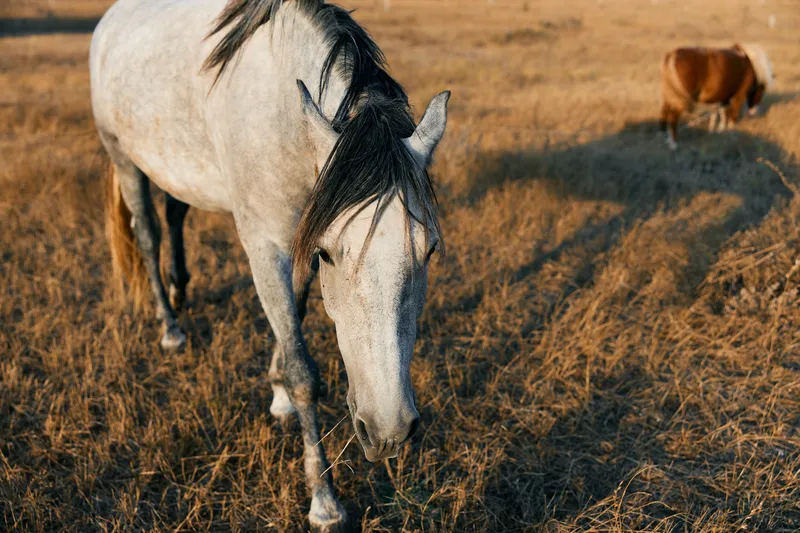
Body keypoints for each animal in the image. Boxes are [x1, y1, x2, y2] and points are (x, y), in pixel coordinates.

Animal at [90, 0, 450, 529]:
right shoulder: (267, 247)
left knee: (175, 214)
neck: (281, 116)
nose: (388, 431)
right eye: (329, 253)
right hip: (125, 159)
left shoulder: (300, 233)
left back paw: (179, 290)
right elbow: (304, 371)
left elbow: (292, 322)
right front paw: (324, 501)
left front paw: (276, 390)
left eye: (429, 251)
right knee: (149, 236)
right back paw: (170, 326)